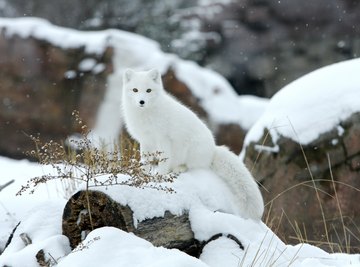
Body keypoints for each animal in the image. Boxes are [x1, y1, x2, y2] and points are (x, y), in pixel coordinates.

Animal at [121, 68, 264, 220]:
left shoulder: (164, 139)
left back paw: (178, 169)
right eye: (135, 90)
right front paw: (142, 175)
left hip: (190, 150)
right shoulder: (146, 141)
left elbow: (163, 162)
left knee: (190, 167)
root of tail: (213, 151)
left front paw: (159, 176)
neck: (146, 115)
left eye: (148, 90)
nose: (141, 101)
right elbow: (145, 162)